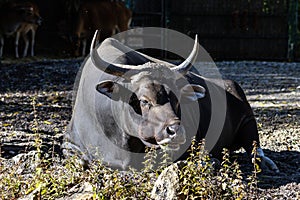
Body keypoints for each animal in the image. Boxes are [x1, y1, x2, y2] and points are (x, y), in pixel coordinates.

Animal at [62, 30, 278, 172]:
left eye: (177, 98)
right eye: (144, 101)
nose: (175, 131)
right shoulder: (69, 142)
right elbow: (81, 160)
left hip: (248, 119)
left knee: (255, 148)